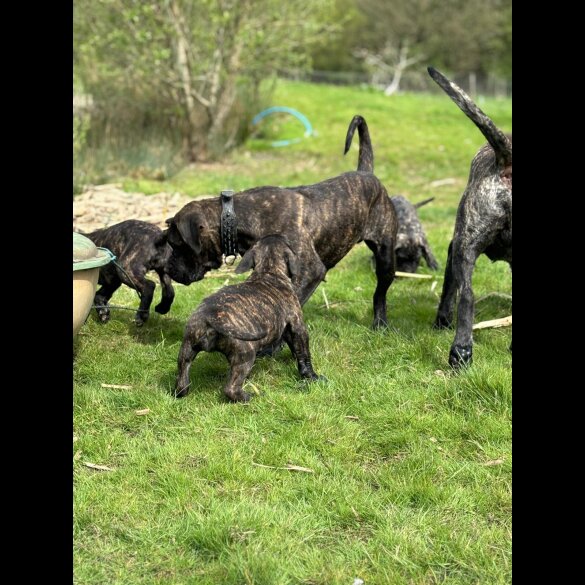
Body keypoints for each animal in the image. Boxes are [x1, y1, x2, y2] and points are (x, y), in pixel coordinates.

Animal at [175, 233, 320, 402]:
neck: (268, 271)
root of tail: (209, 317)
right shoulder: (298, 327)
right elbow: (304, 354)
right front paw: (313, 377)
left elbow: (295, 348)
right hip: (245, 354)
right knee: (231, 388)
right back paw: (251, 396)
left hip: (186, 349)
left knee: (182, 381)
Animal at [428, 68, 512, 368]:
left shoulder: (456, 246)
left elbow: (448, 290)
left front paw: (442, 321)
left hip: (464, 249)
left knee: (467, 296)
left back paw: (460, 351)